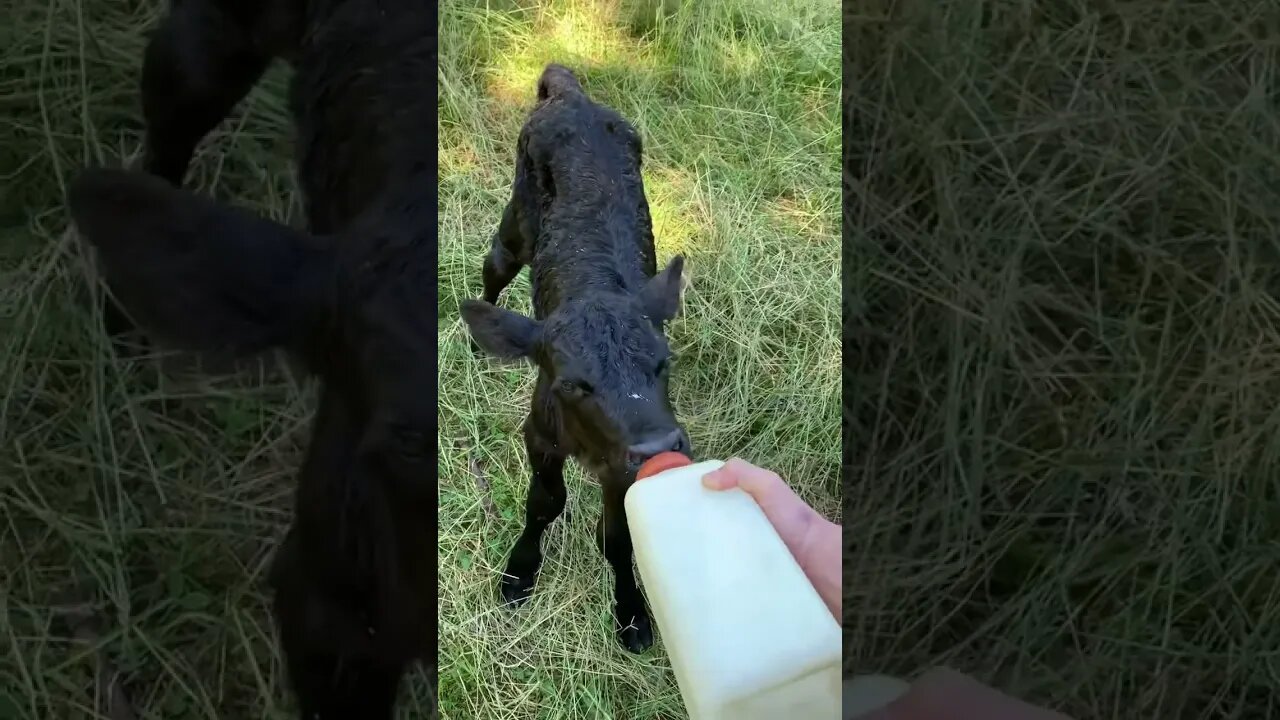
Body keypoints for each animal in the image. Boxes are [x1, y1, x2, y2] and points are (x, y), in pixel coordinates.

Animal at [465, 64, 691, 653]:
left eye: (663, 362)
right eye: (571, 383)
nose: (661, 445)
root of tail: (571, 93)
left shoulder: (623, 460)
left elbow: (619, 537)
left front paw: (632, 614)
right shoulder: (541, 431)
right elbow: (544, 503)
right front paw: (519, 573)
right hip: (517, 219)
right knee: (495, 265)